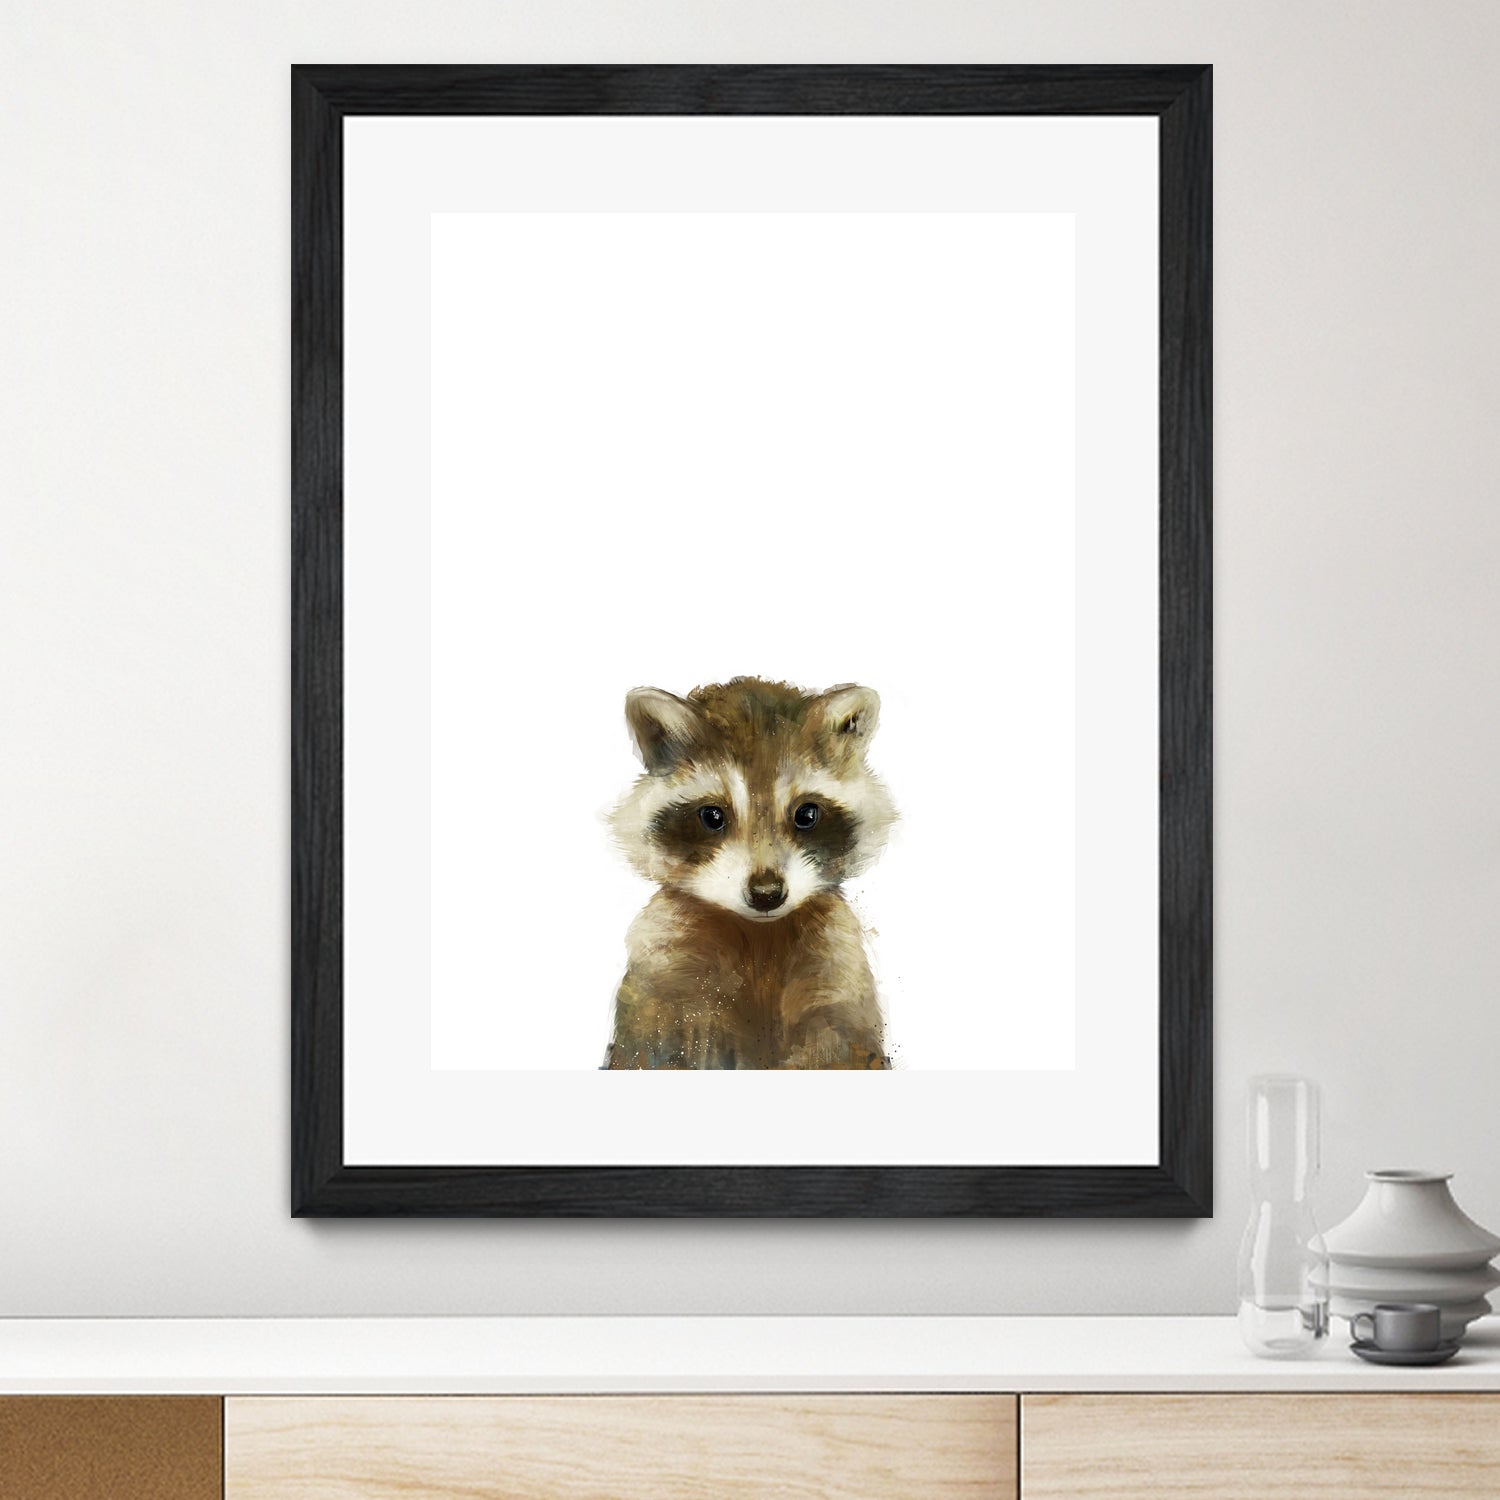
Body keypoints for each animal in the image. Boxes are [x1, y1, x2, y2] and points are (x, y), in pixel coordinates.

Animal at [605, 677, 897, 1070]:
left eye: (806, 814)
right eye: (712, 816)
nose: (766, 893)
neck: (760, 936)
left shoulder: (837, 971)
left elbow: (841, 1046)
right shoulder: (664, 974)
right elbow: (655, 1048)